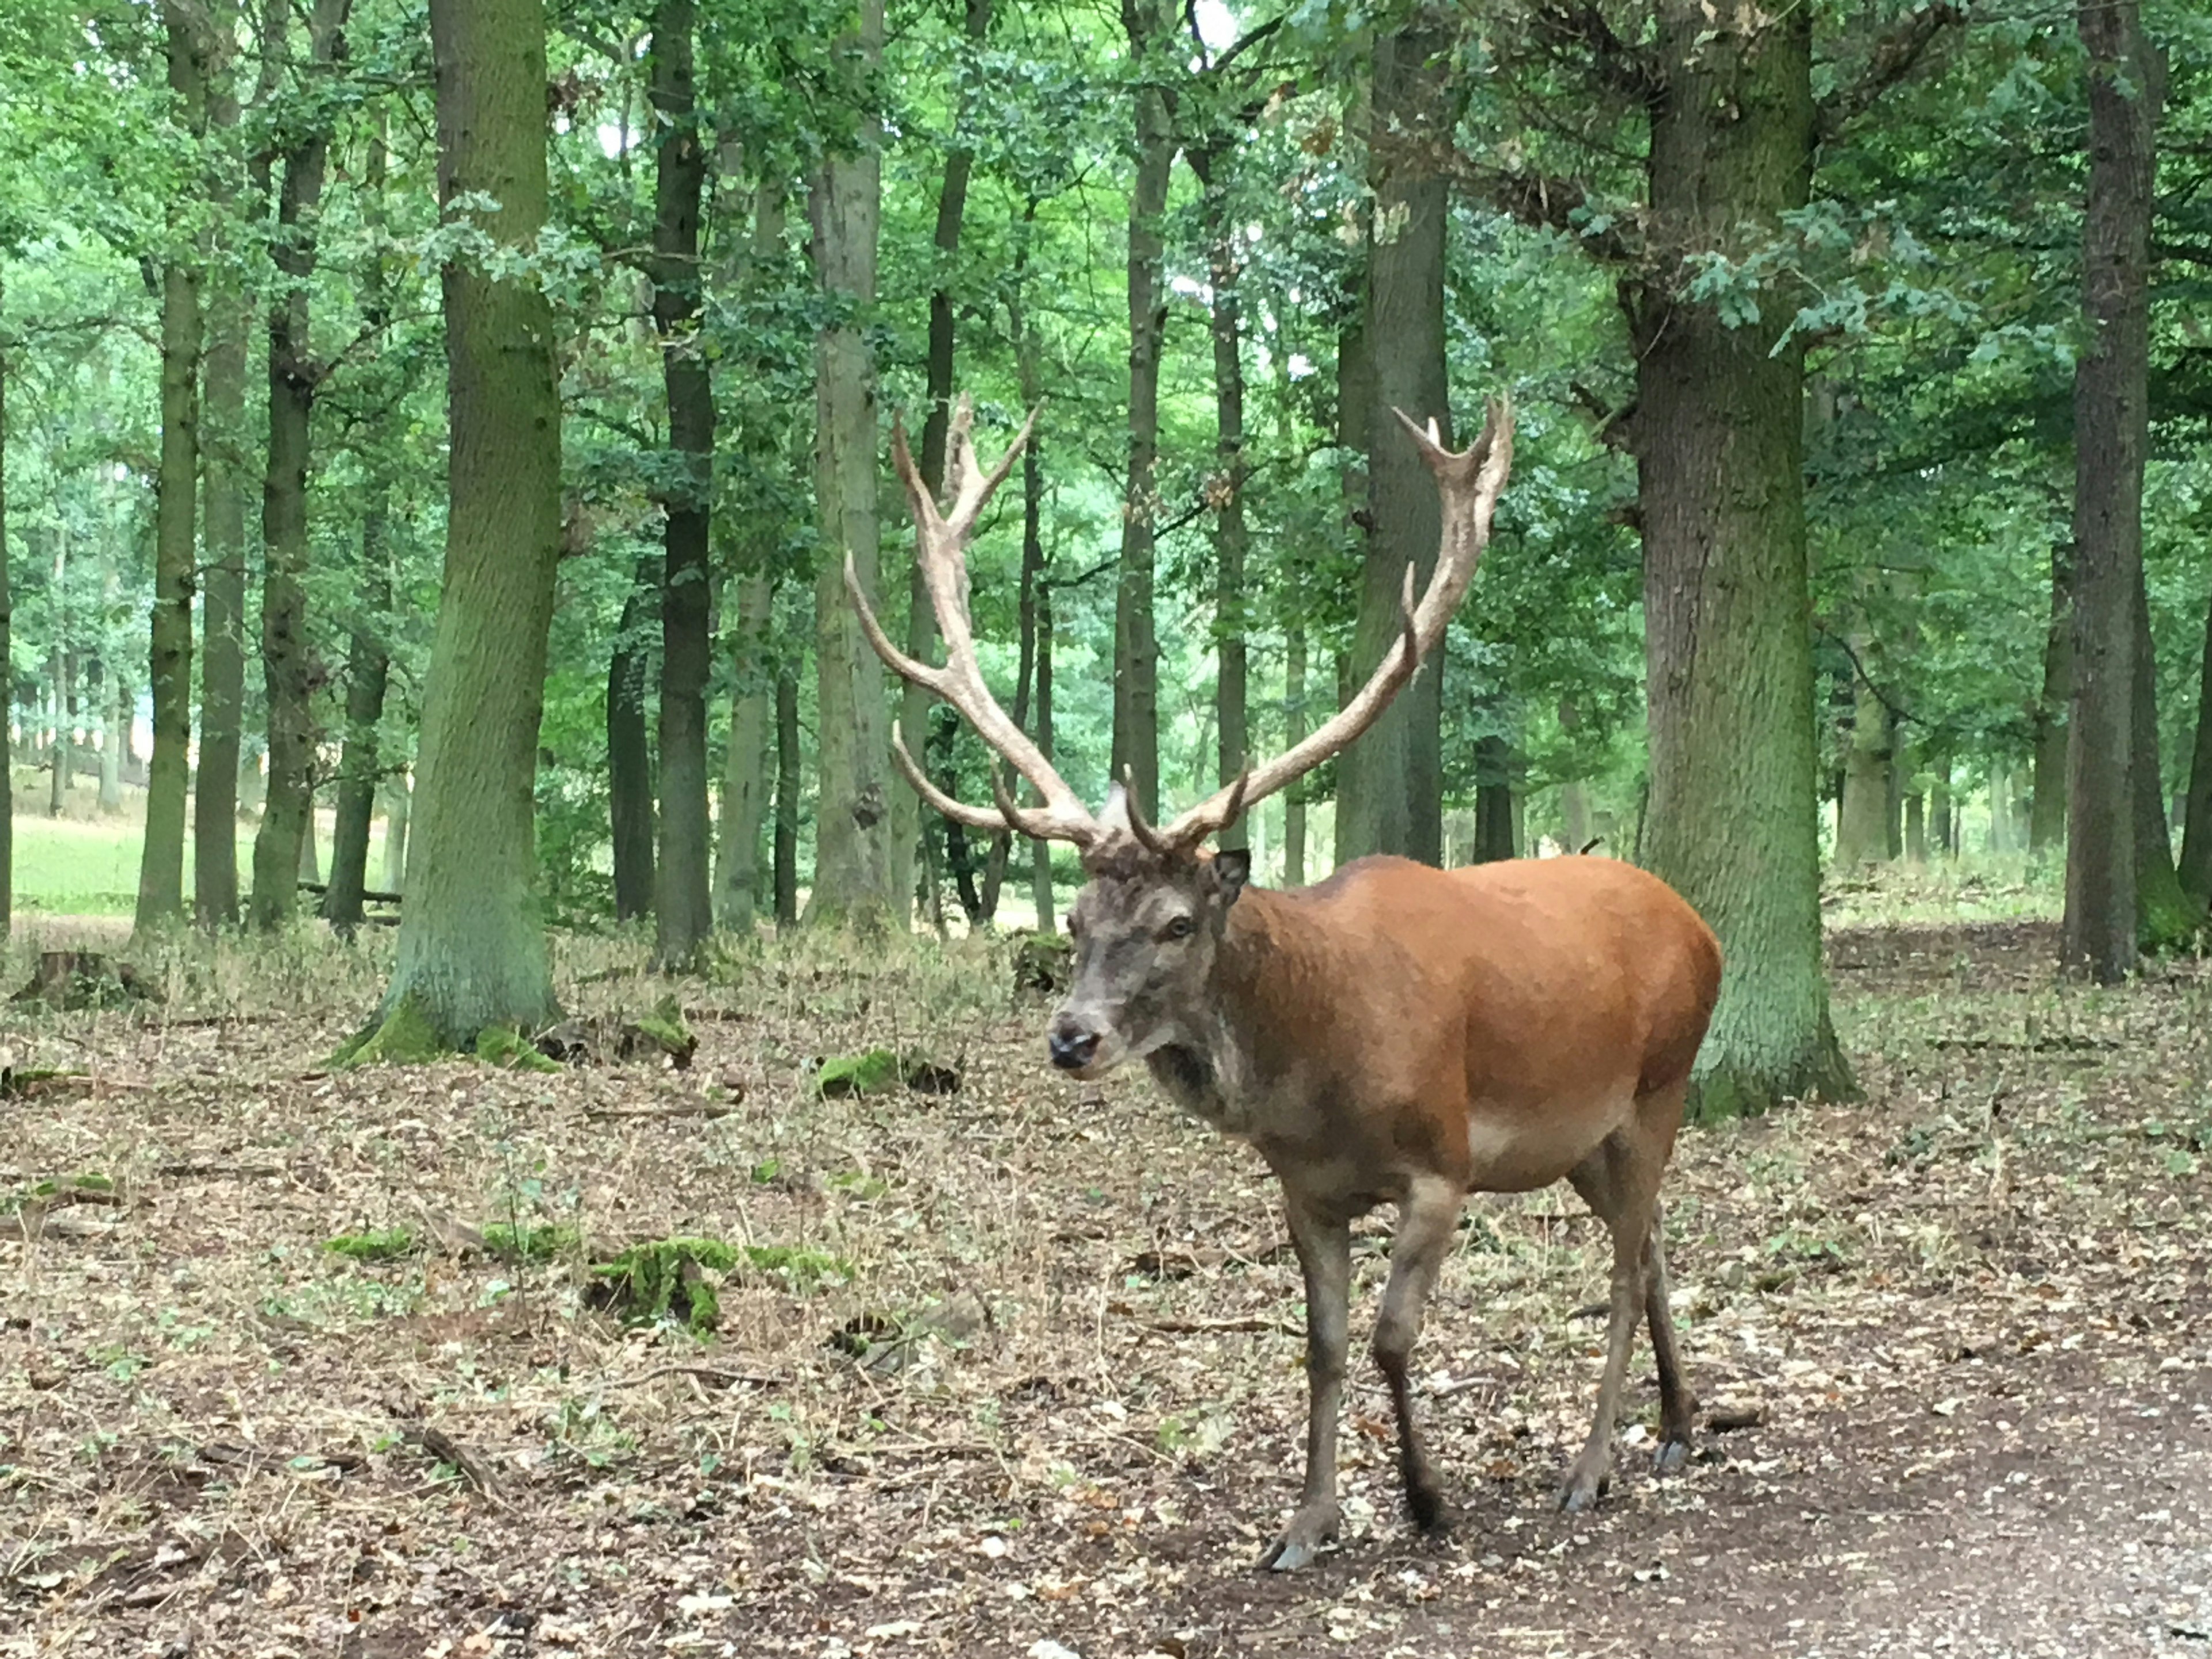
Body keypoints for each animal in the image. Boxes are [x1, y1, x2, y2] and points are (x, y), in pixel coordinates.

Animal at [844, 389, 1725, 1575]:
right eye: (1072, 921)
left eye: (1176, 923)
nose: (1071, 1037)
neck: (1318, 1072)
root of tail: (1701, 925)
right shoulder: (1302, 1187)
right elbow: (1321, 1345)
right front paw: (1306, 1524)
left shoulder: (1443, 1163)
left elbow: (1395, 1337)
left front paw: (1426, 1503)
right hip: (1583, 1138)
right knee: (1658, 1242)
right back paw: (1677, 1426)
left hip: (1657, 1088)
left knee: (1628, 1267)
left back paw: (1590, 1468)